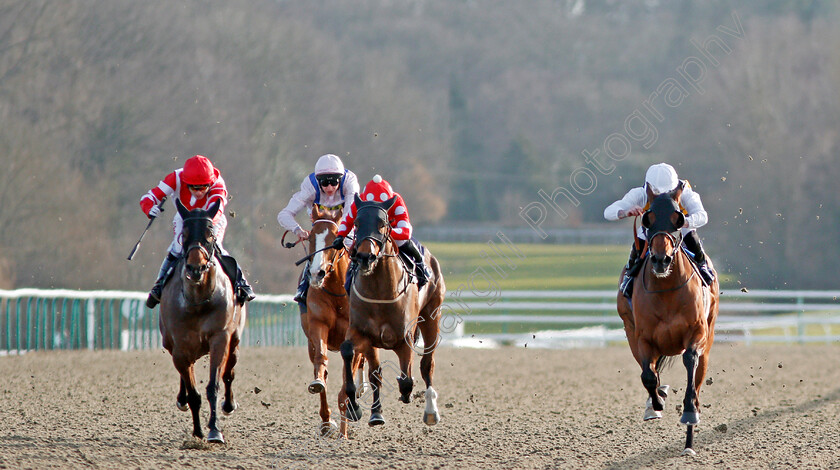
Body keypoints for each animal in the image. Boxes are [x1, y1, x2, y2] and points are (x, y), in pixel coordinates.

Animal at [159, 199, 246, 444]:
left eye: (210, 234)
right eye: (184, 234)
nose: (195, 268)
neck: (198, 301)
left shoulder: (219, 337)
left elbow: (213, 386)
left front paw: (214, 430)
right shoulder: (180, 346)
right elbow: (193, 393)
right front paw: (197, 432)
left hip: (234, 340)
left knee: (229, 372)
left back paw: (229, 404)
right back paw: (181, 400)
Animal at [302, 204, 368, 436]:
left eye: (334, 238)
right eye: (311, 237)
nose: (317, 273)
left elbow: (346, 384)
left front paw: (344, 432)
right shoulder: (317, 325)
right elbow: (320, 362)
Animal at [340, 193, 450, 436]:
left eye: (382, 224)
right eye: (357, 223)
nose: (364, 257)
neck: (380, 291)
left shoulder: (404, 338)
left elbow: (407, 378)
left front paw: (406, 393)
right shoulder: (362, 333)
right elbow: (350, 353)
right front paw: (355, 406)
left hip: (432, 318)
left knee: (426, 365)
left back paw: (430, 411)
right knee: (376, 372)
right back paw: (376, 414)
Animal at [616, 181, 720, 456]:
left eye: (678, 218)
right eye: (648, 218)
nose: (661, 259)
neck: (666, 290)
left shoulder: (697, 333)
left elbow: (689, 362)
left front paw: (689, 413)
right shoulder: (642, 338)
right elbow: (648, 376)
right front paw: (656, 404)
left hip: (709, 338)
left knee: (697, 381)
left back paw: (689, 440)